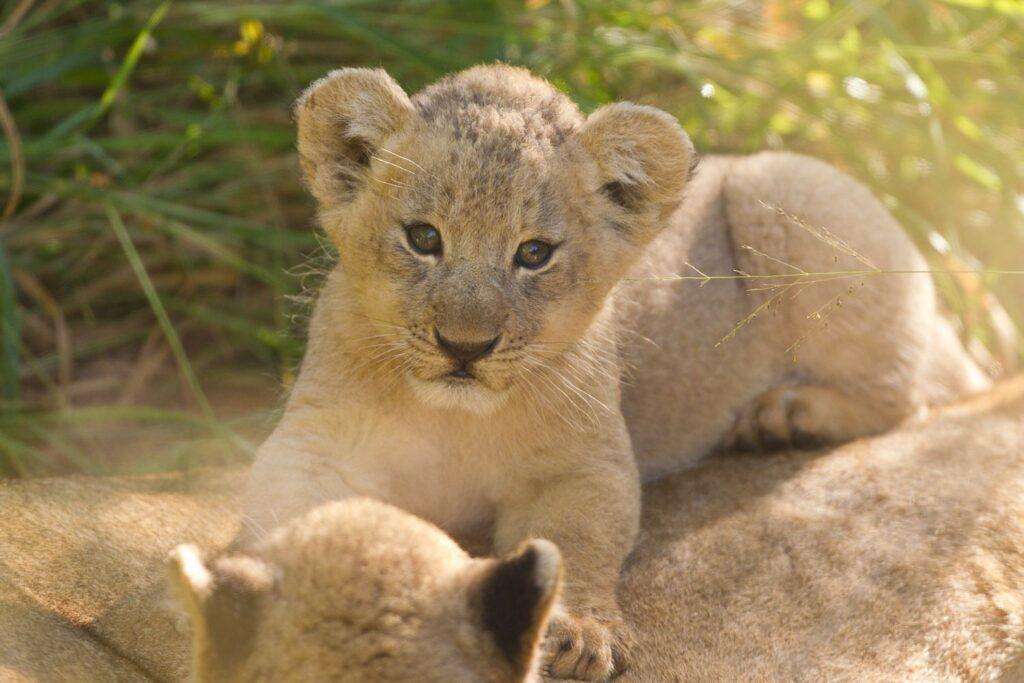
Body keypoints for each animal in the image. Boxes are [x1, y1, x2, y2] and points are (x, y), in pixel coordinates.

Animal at [241, 63, 988, 679]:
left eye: (533, 253)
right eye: (423, 238)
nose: (465, 346)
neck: (452, 417)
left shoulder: (585, 464)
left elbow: (575, 540)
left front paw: (577, 634)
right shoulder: (316, 441)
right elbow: (286, 507)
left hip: (783, 187)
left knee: (916, 391)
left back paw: (786, 417)